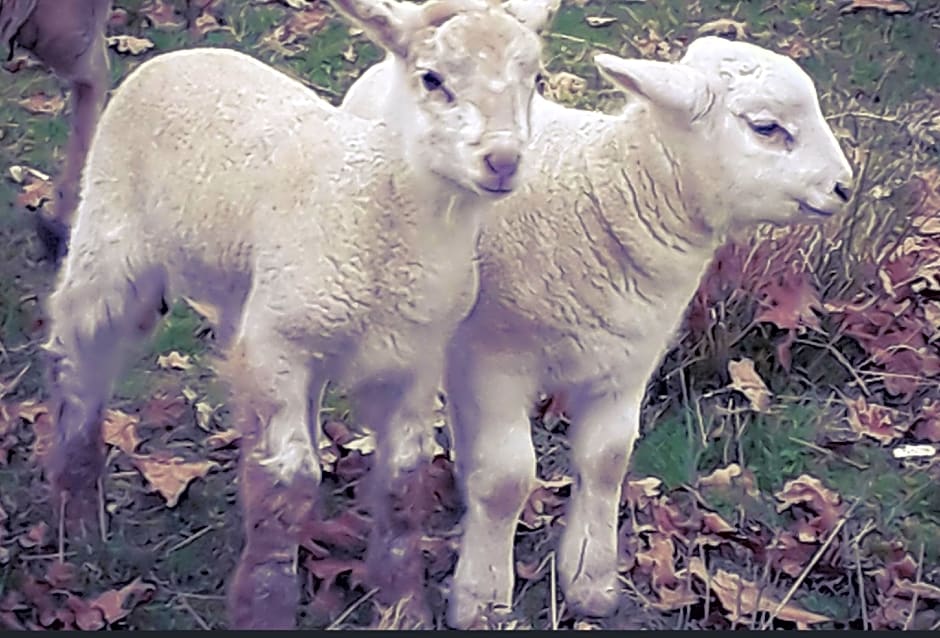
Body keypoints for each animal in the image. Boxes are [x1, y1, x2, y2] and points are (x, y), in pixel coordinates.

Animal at [42, 0, 560, 632]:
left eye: (535, 79)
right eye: (433, 79)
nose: (503, 161)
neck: (378, 207)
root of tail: (184, 53)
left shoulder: (414, 357)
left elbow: (403, 481)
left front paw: (401, 606)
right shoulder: (278, 346)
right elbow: (287, 483)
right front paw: (265, 606)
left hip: (252, 292)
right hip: (112, 233)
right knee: (78, 348)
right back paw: (74, 509)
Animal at [342, 36, 856, 632]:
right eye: (767, 127)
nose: (845, 187)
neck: (606, 195)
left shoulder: (627, 363)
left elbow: (606, 462)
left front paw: (590, 582)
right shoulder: (496, 361)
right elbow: (507, 479)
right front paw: (482, 600)